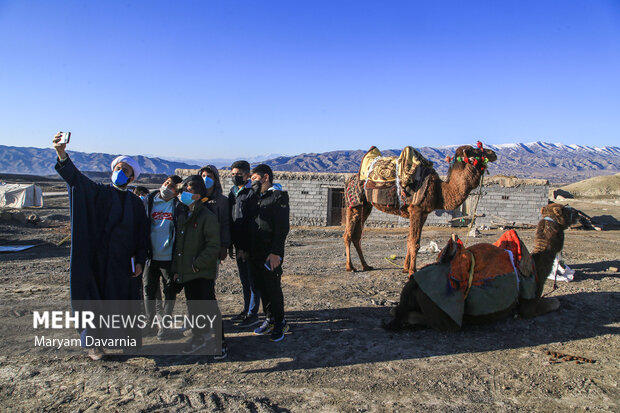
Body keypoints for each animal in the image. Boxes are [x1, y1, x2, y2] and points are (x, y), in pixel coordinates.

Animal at [346, 143, 496, 276]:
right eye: (475, 152)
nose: (493, 153)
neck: (440, 191)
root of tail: (352, 178)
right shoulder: (416, 210)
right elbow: (415, 242)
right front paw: (412, 271)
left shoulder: (424, 214)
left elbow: (409, 240)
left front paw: (405, 268)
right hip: (354, 205)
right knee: (348, 234)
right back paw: (350, 267)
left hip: (366, 206)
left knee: (357, 236)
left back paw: (366, 266)